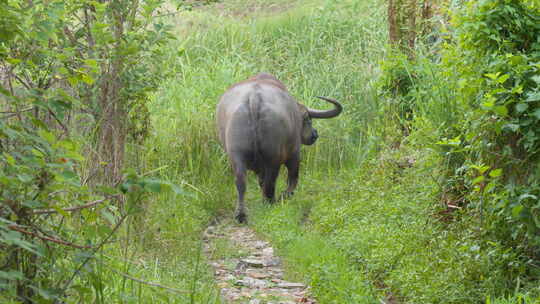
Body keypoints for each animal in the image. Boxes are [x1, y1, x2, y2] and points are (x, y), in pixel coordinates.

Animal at [215, 72, 342, 222]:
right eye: (307, 119)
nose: (314, 135)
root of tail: (254, 99)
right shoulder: (294, 153)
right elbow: (292, 178)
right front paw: (284, 196)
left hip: (237, 155)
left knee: (241, 182)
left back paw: (241, 214)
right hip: (274, 156)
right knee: (273, 181)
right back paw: (270, 202)